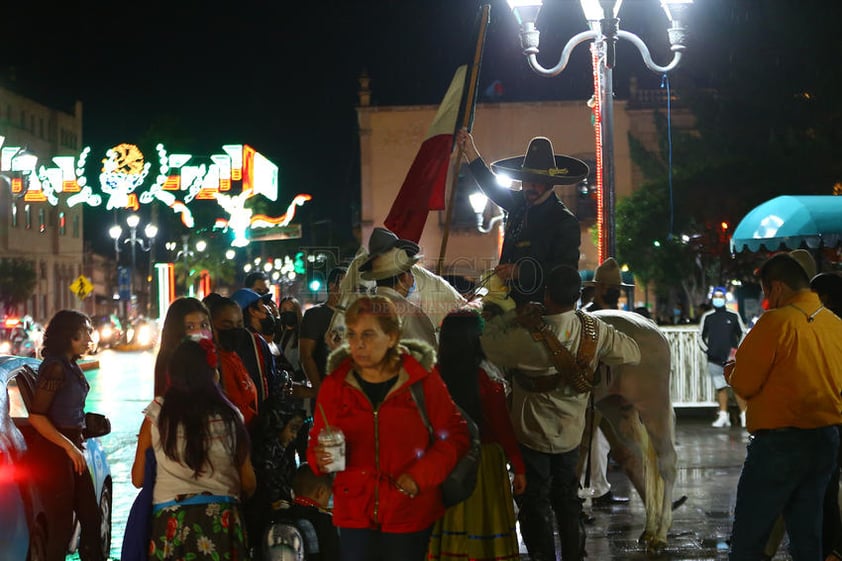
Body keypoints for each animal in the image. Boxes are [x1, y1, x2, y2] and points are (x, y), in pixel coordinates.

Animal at [584, 308, 684, 552]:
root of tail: (650, 324)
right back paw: (650, 528)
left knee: (666, 461)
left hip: (654, 404)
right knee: (644, 459)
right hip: (618, 408)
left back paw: (660, 532)